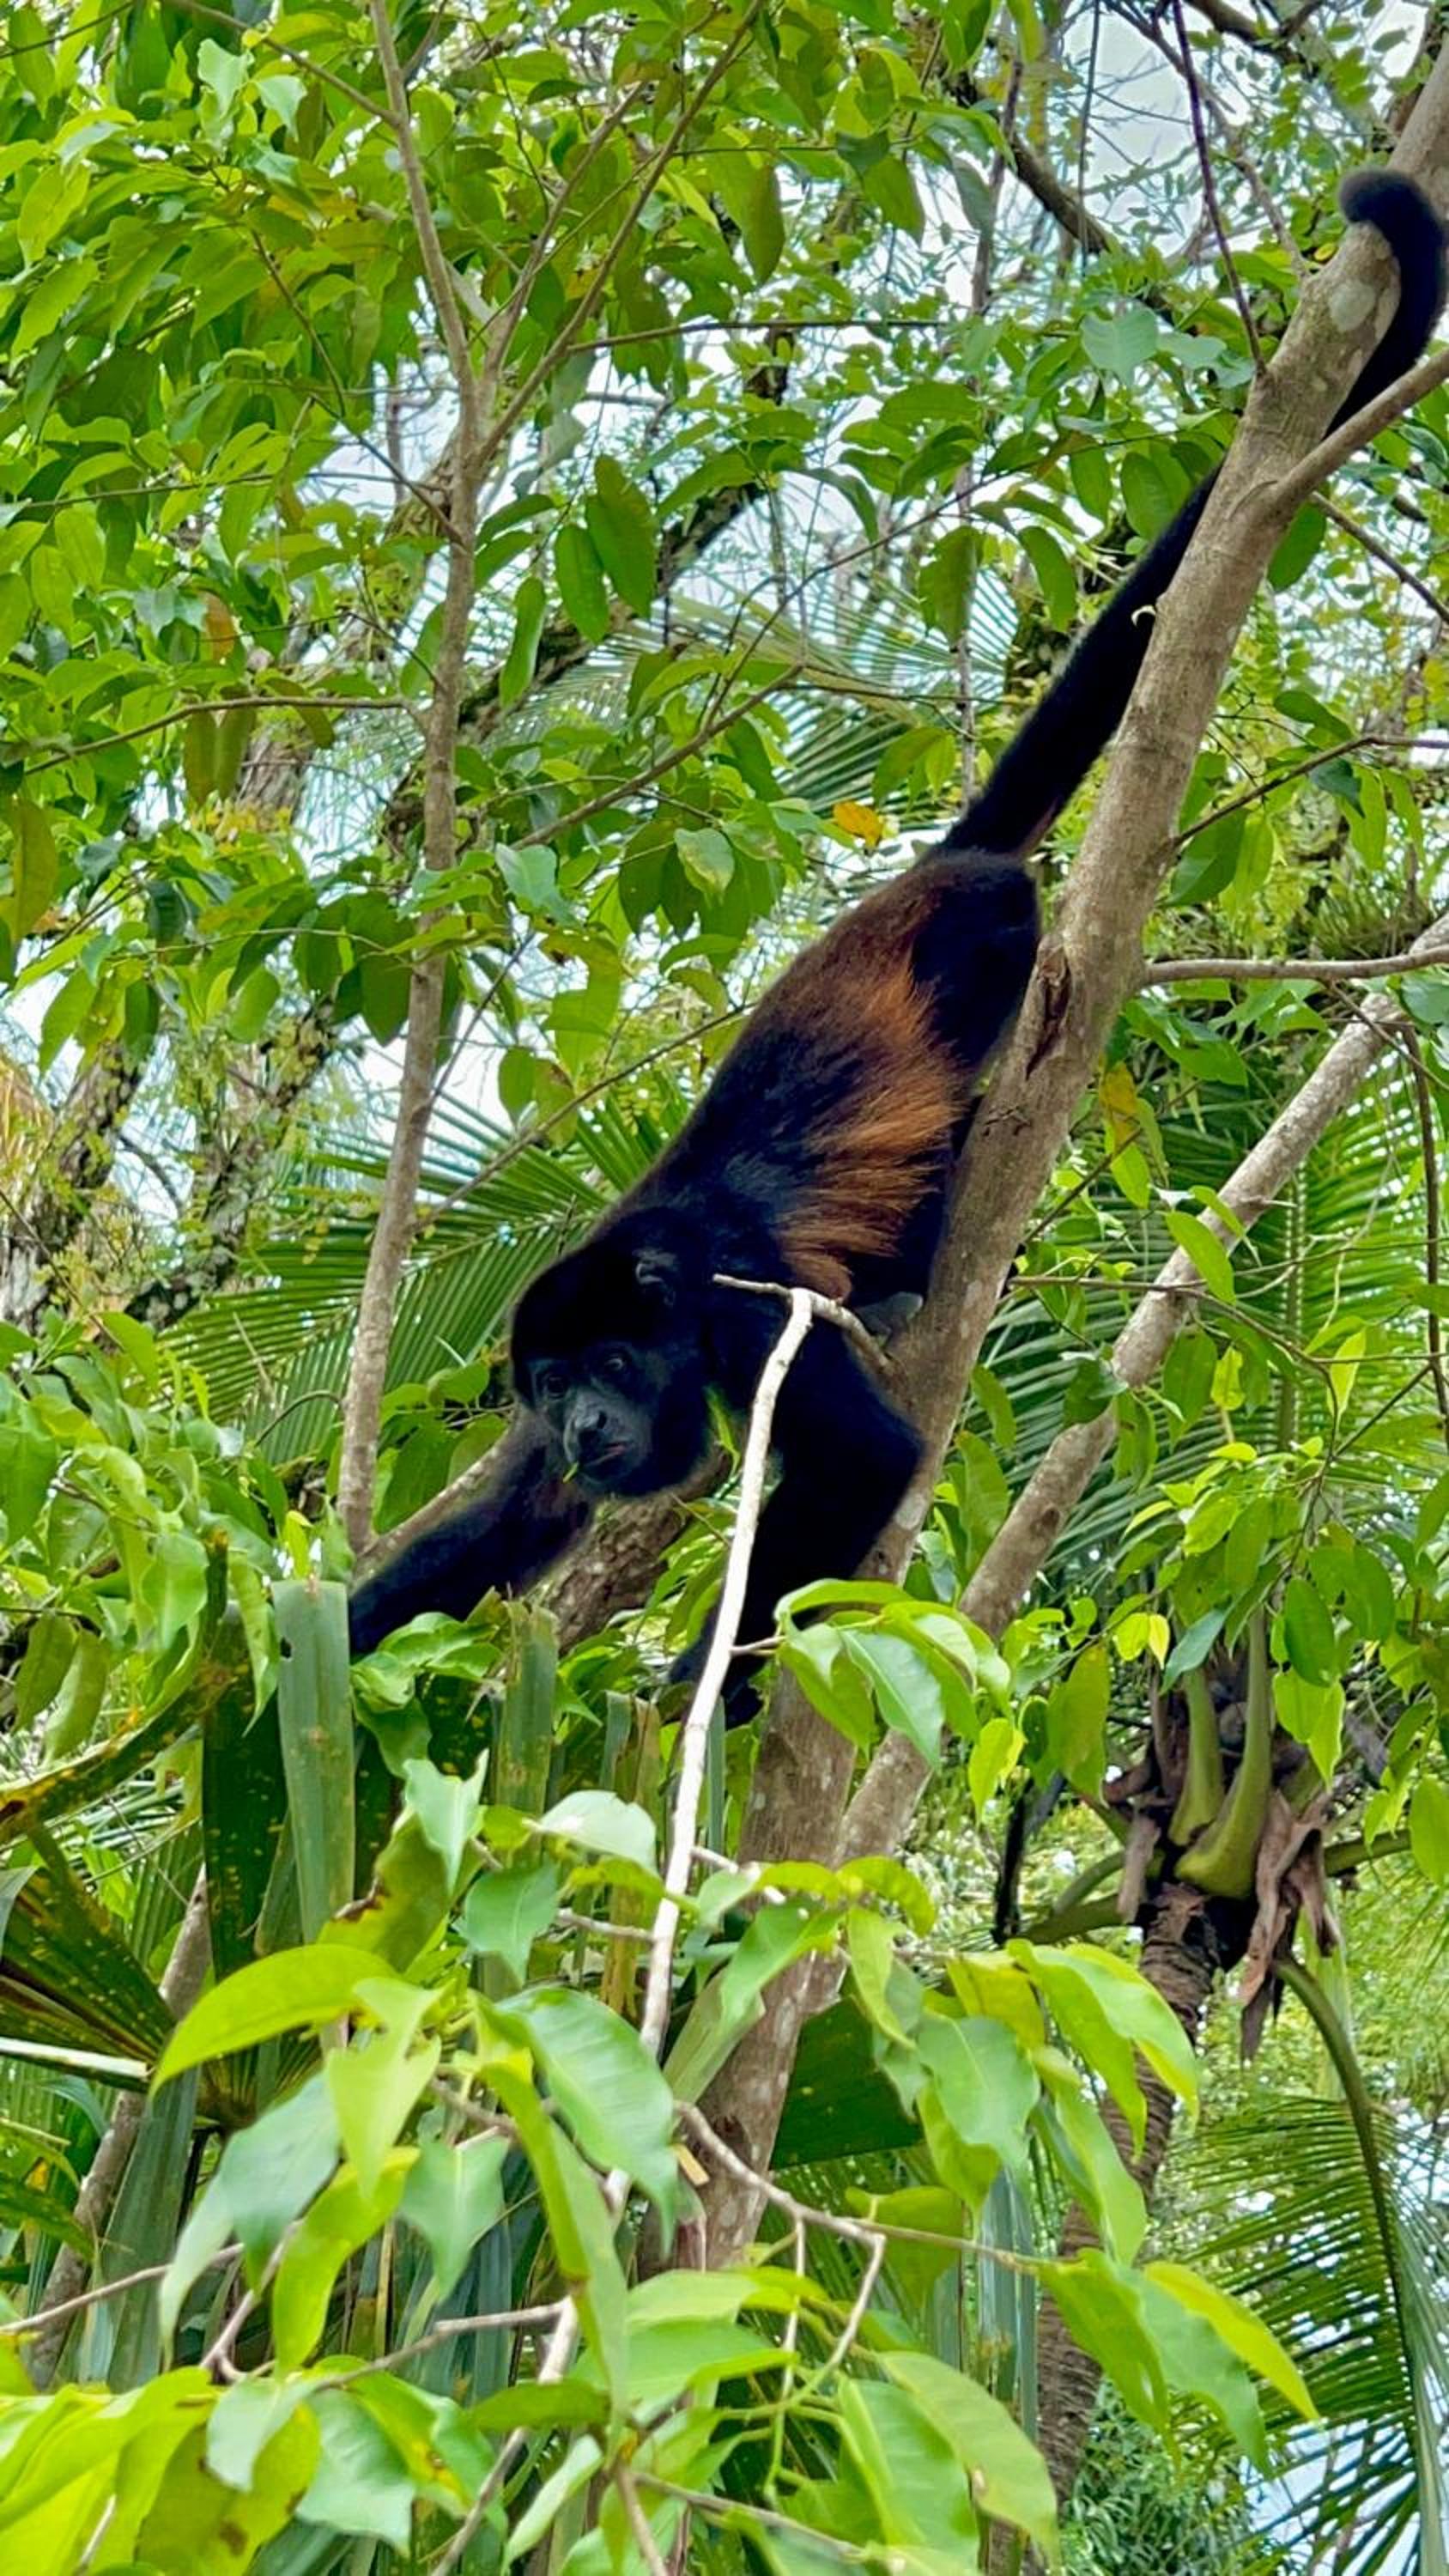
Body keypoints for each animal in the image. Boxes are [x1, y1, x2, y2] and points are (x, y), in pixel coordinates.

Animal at [349, 172, 1447, 1717]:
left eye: (610, 1361)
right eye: (547, 1388)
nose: (581, 1424)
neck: (660, 1291)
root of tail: (929, 868)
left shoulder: (741, 1319)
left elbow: (866, 1460)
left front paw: (713, 1678)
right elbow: (508, 1523)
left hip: (993, 927)